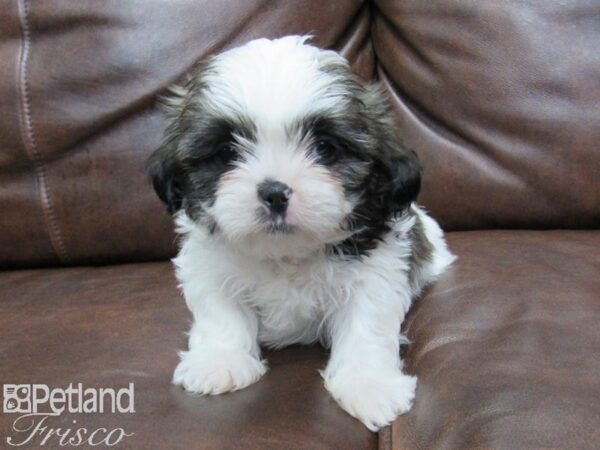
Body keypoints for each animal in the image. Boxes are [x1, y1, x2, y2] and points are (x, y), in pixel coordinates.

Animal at [148, 35, 452, 428]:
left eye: (325, 148)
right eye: (227, 151)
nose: (275, 192)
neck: (286, 251)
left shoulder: (375, 274)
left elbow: (365, 327)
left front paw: (368, 385)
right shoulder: (208, 267)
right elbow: (221, 314)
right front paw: (220, 361)